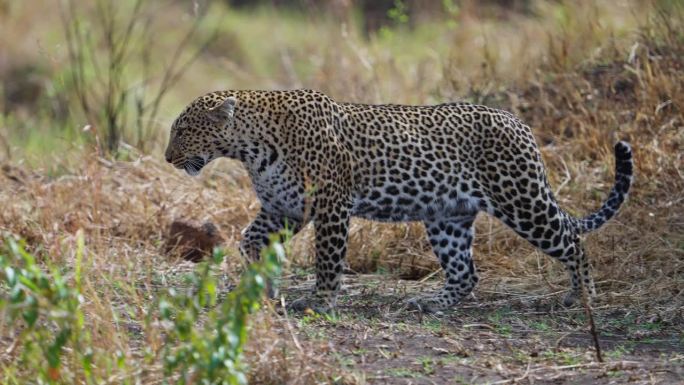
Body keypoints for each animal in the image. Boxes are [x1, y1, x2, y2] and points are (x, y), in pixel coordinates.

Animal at [163, 89, 632, 312]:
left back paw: (583, 297)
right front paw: (259, 285)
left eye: (183, 131)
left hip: (521, 200)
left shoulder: (330, 205)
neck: (250, 147)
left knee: (572, 241)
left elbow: (327, 259)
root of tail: (520, 123)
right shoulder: (284, 208)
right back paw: (431, 303)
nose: (167, 157)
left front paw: (320, 301)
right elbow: (250, 239)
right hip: (448, 216)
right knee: (465, 273)